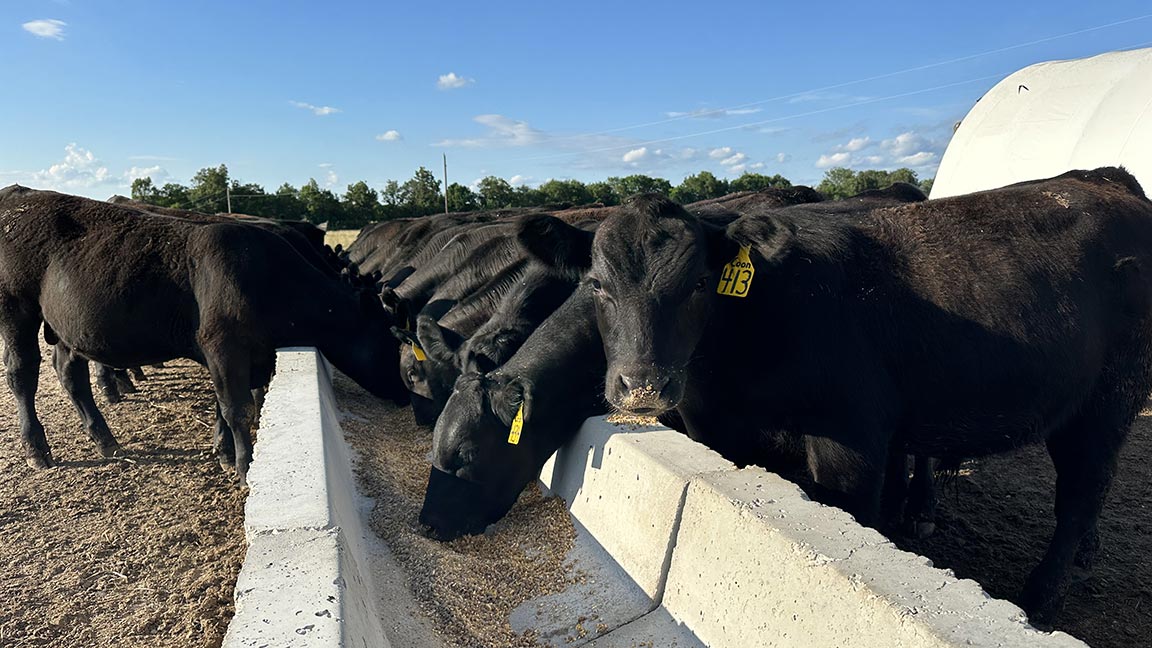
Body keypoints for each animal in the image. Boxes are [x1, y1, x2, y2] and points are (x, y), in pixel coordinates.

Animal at [0, 184, 405, 481]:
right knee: (22, 373)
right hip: (15, 310)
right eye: (391, 341)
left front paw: (223, 451)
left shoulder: (234, 354)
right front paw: (243, 466)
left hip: (70, 327)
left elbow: (221, 406)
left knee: (70, 373)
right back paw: (37, 449)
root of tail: (17, 192)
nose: (403, 393)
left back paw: (106, 440)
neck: (268, 278)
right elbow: (236, 409)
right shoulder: (223, 347)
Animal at [513, 167, 1152, 622]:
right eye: (597, 285)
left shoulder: (852, 434)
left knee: (1081, 493)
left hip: (1108, 399)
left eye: (698, 282)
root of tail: (1106, 181)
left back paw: (1040, 598)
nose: (642, 384)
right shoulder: (712, 421)